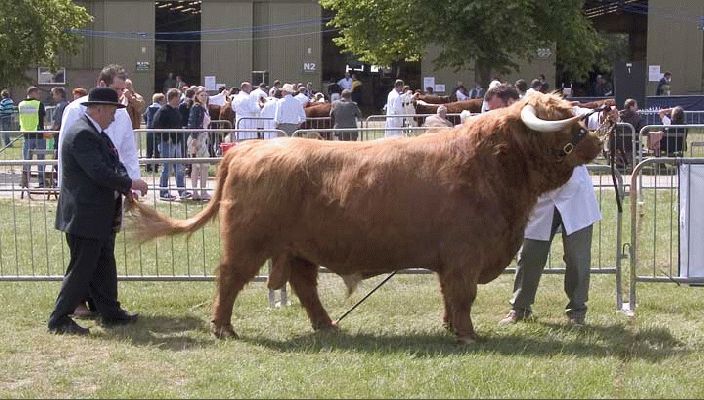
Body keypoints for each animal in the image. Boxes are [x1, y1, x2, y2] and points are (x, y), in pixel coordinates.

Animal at [127, 92, 606, 345]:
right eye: (563, 122)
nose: (596, 140)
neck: (494, 168)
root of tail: (245, 148)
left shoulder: (451, 261)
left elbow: (450, 296)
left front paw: (451, 328)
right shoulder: (464, 256)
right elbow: (463, 295)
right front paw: (468, 335)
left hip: (297, 249)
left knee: (304, 286)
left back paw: (328, 325)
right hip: (249, 242)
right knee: (229, 278)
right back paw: (224, 328)